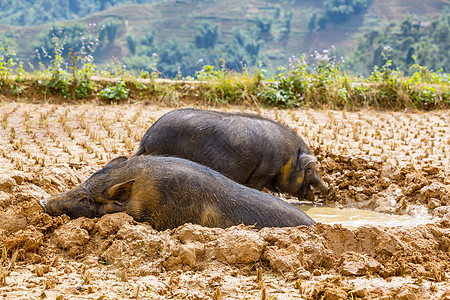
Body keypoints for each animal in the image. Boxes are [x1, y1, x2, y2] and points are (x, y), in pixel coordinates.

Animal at [133, 108, 326, 202]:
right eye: (310, 170)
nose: (328, 188)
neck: (287, 157)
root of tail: (147, 138)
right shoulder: (263, 172)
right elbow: (256, 187)